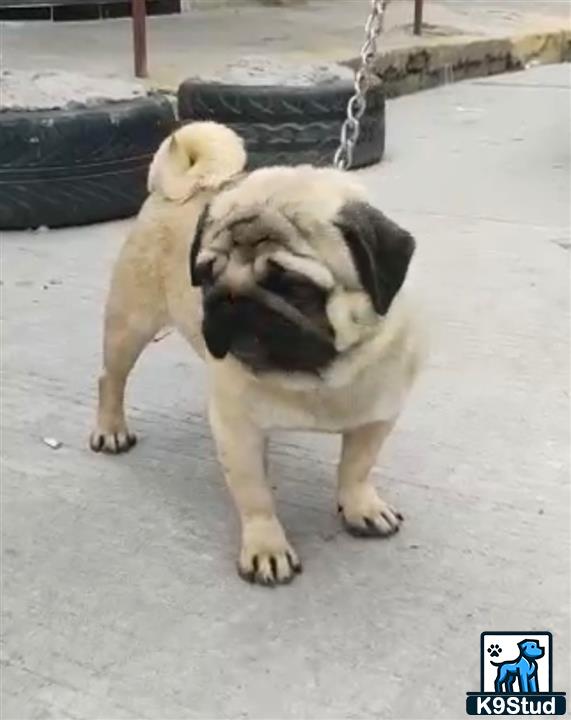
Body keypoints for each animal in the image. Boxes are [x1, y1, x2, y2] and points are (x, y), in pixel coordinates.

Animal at [90, 121, 424, 588]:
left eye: (293, 286)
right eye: (206, 276)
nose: (231, 297)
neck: (318, 374)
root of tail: (180, 187)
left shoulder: (376, 418)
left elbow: (356, 468)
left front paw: (361, 506)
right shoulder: (239, 433)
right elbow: (255, 495)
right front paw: (267, 547)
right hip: (129, 323)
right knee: (111, 378)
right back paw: (111, 429)